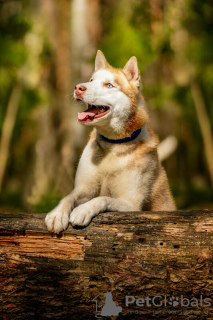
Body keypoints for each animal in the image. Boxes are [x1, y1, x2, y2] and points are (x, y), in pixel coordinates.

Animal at [44, 50, 175, 235]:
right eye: (91, 80)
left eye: (109, 85)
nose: (78, 87)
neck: (113, 145)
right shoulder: (84, 188)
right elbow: (68, 197)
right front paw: (57, 214)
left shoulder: (131, 204)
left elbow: (103, 198)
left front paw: (83, 210)